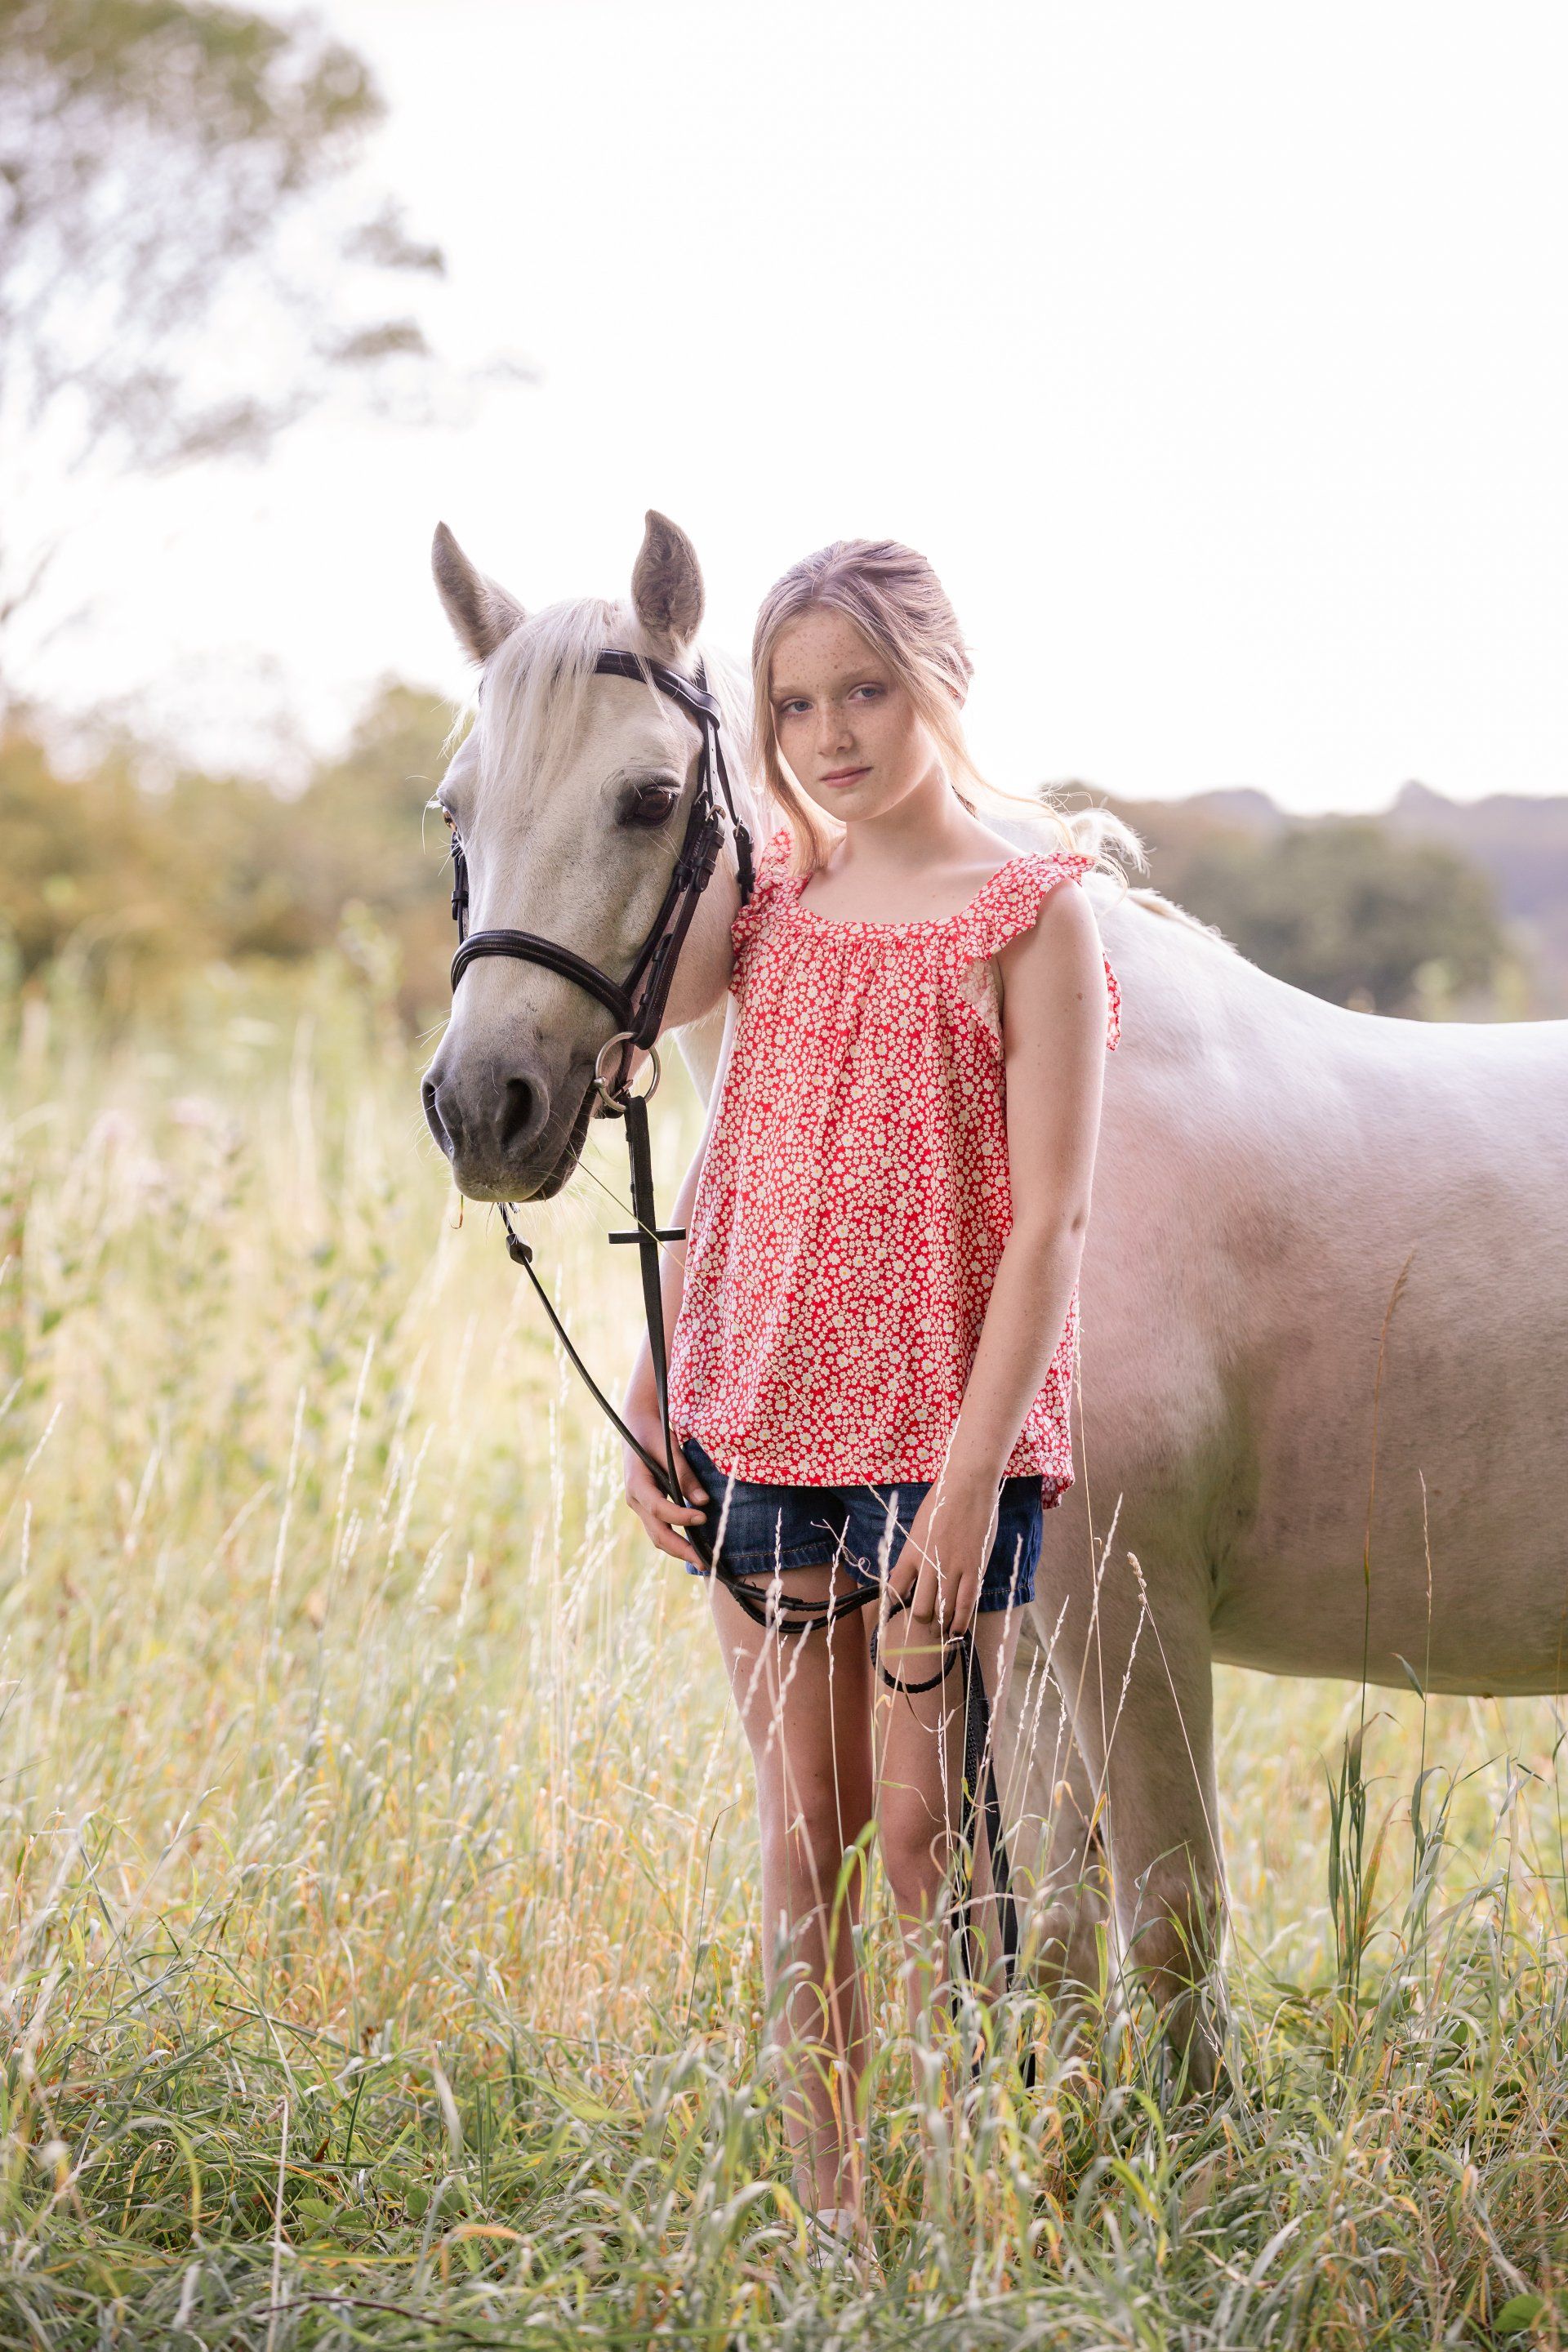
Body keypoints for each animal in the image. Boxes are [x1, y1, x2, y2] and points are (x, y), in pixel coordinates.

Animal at [421, 510, 1568, 2087]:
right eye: (453, 811)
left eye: (649, 799)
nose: (483, 1107)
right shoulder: (1010, 1635)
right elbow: (1050, 1943)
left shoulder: (1130, 1613)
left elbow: (1168, 1925)